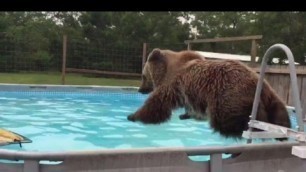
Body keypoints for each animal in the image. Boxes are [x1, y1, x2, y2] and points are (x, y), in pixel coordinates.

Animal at [127, 51, 292, 139]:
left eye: (143, 76)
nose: (140, 89)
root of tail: (259, 84)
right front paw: (186, 115)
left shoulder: (173, 84)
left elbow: (157, 104)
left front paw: (134, 115)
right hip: (272, 97)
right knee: (280, 114)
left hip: (228, 96)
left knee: (228, 120)